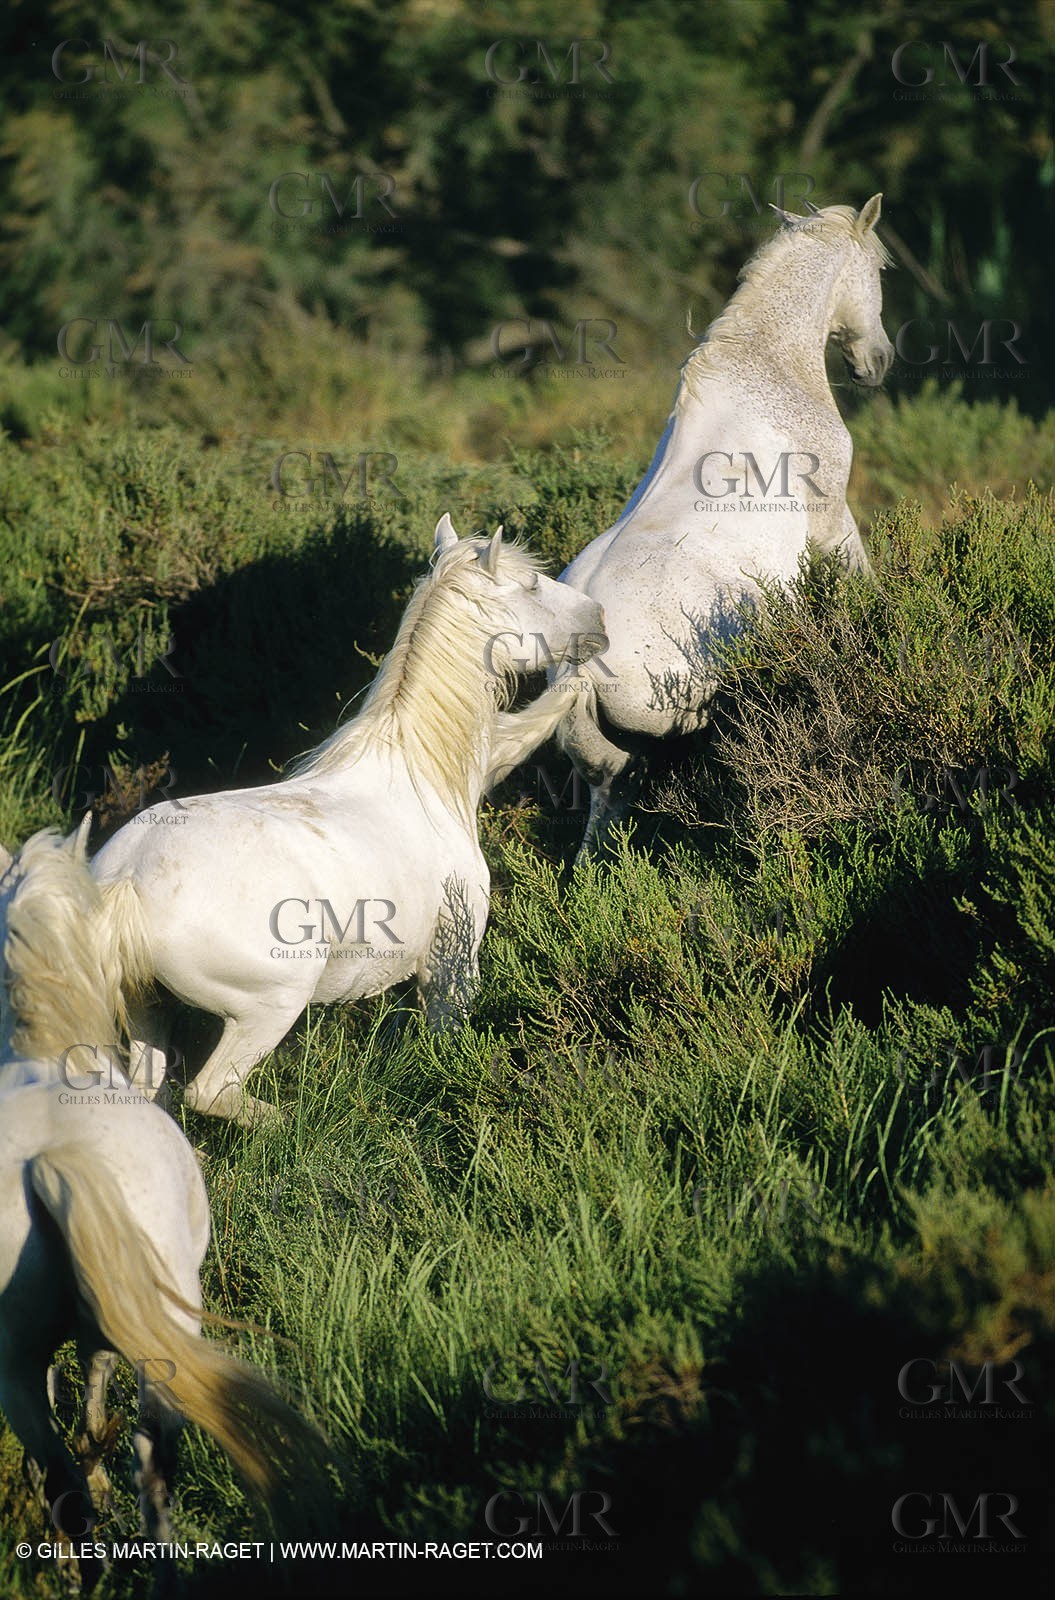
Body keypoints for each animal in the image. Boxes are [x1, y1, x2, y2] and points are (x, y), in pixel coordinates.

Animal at [0, 826, 326, 1575]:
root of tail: (52, 1161)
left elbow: (86, 1399)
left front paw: (93, 1456)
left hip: (12, 1368)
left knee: (58, 1477)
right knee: (153, 1464)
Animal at [64, 516, 606, 1127]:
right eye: (533, 585)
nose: (599, 618)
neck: (419, 776)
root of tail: (127, 880)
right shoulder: (451, 971)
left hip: (148, 1013)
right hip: (269, 1007)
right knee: (211, 1091)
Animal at [555, 196, 894, 857]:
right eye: (880, 269)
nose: (879, 362)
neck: (769, 367)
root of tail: (579, 665)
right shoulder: (832, 520)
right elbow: (862, 578)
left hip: (607, 761)